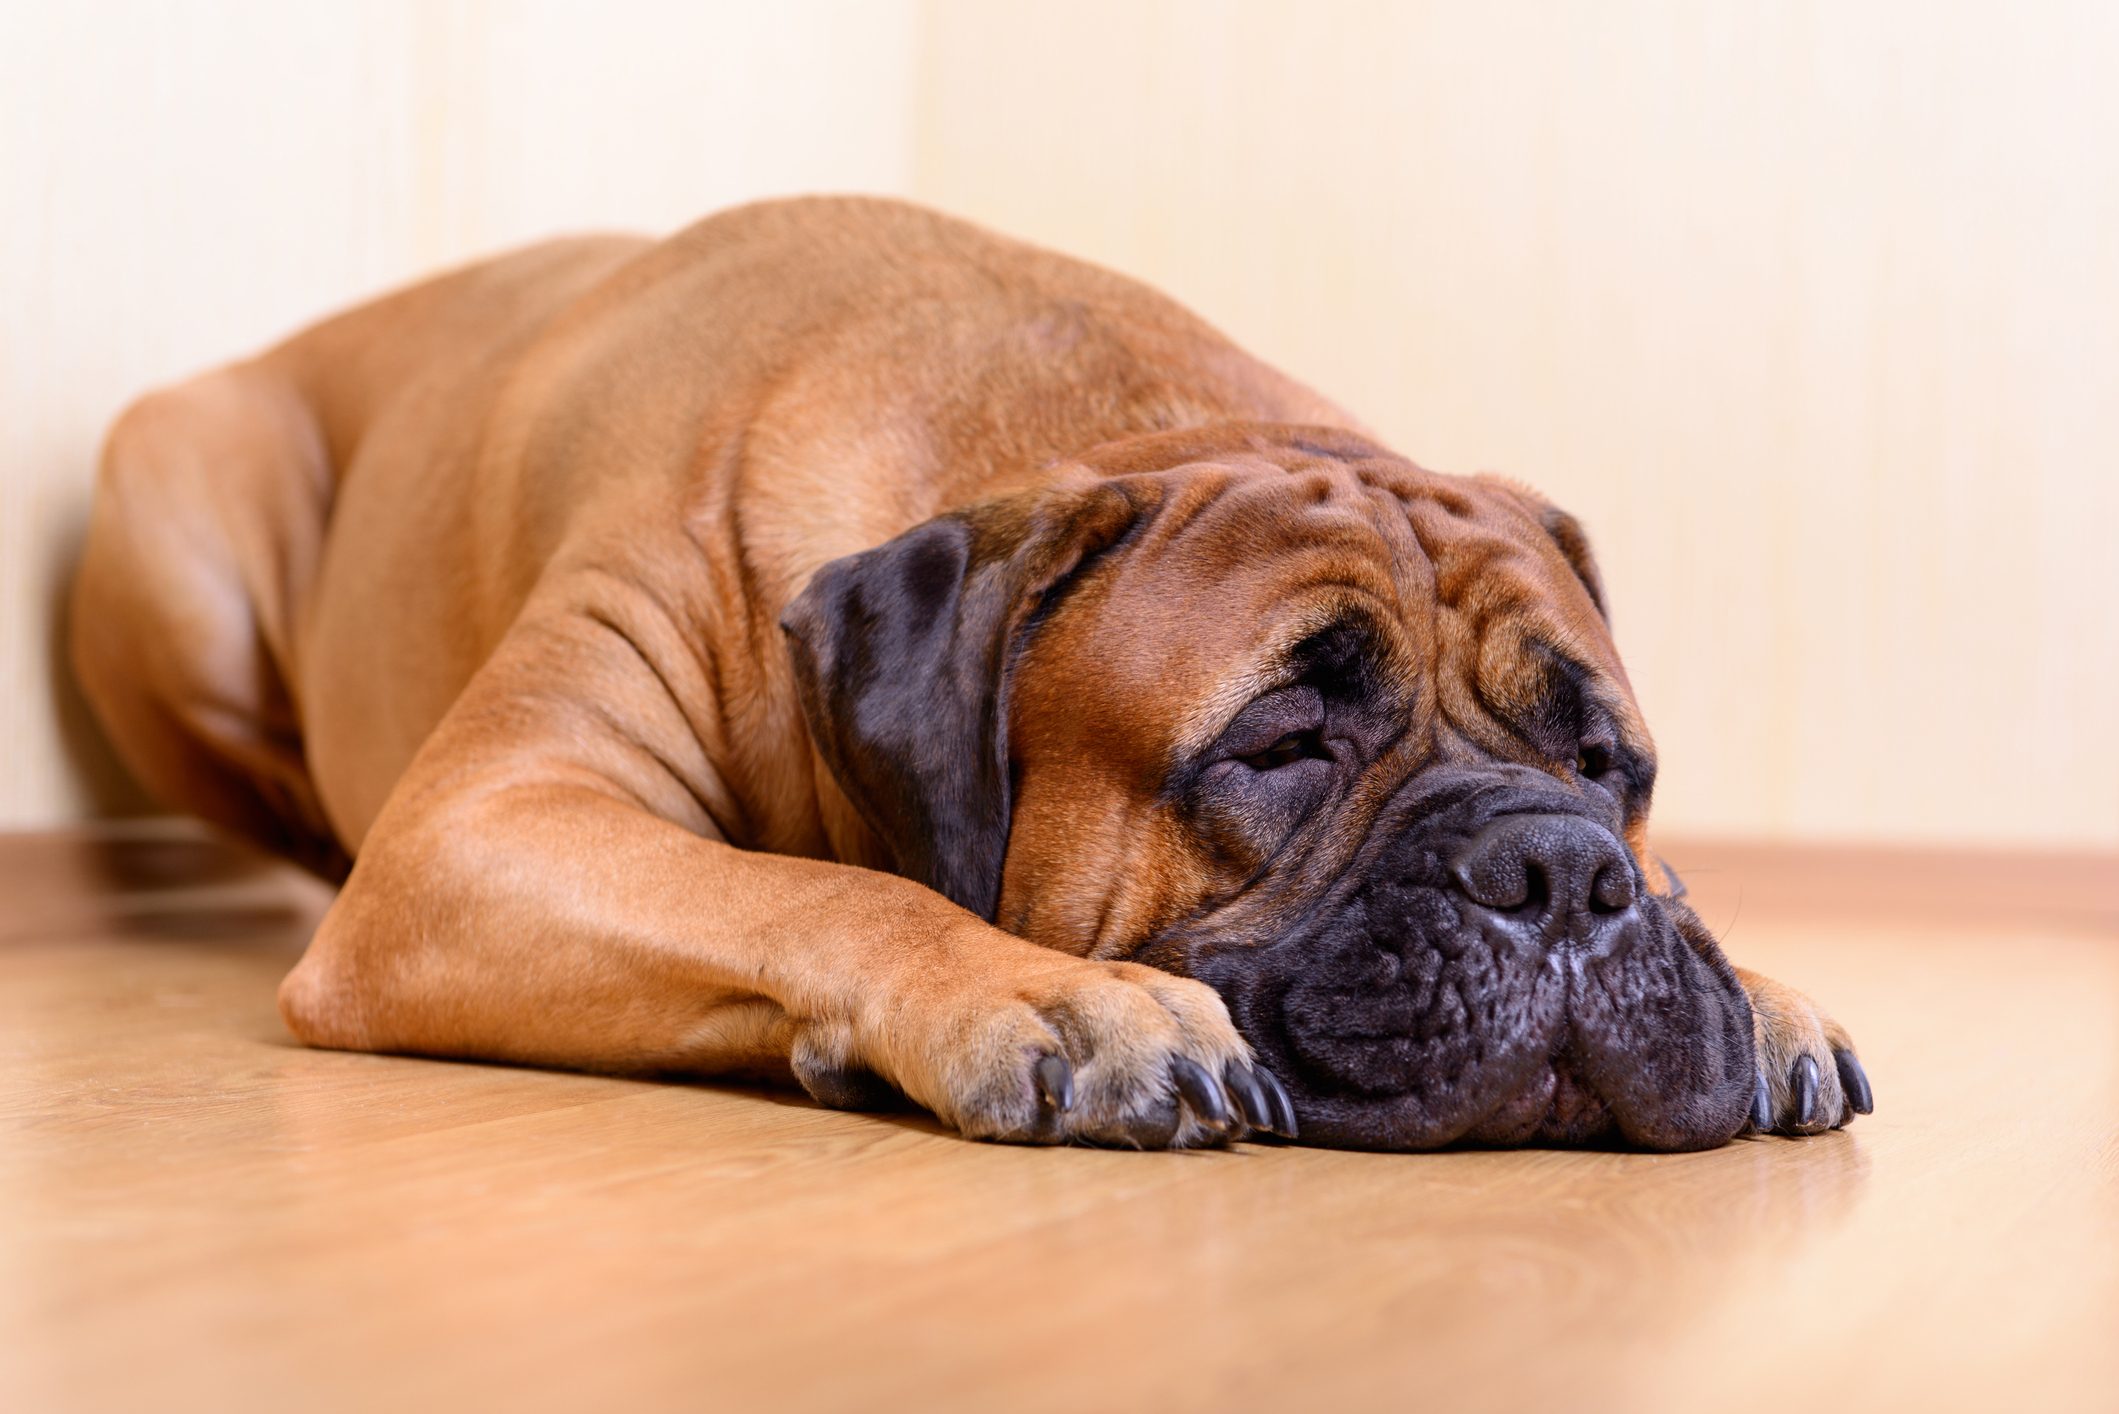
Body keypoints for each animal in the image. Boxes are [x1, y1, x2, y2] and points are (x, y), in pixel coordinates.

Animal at [70, 196, 1873, 1153]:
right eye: (1280, 742)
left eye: (1604, 766)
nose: (1558, 869)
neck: (1100, 426)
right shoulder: (478, 823)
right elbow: (821, 889)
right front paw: (1053, 993)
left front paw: (1755, 979)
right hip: (169, 531)